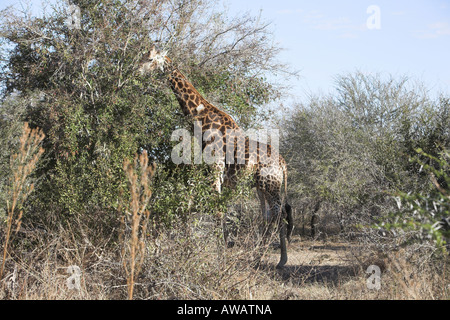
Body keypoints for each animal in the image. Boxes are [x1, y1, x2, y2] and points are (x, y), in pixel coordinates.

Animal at [141, 46, 296, 268]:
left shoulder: (216, 171)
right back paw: (258, 257)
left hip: (270, 184)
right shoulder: (209, 175)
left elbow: (217, 211)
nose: (137, 70)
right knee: (268, 216)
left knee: (279, 214)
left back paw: (279, 260)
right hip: (261, 187)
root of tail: (283, 164)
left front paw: (219, 256)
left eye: (150, 59)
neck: (201, 119)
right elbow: (201, 209)